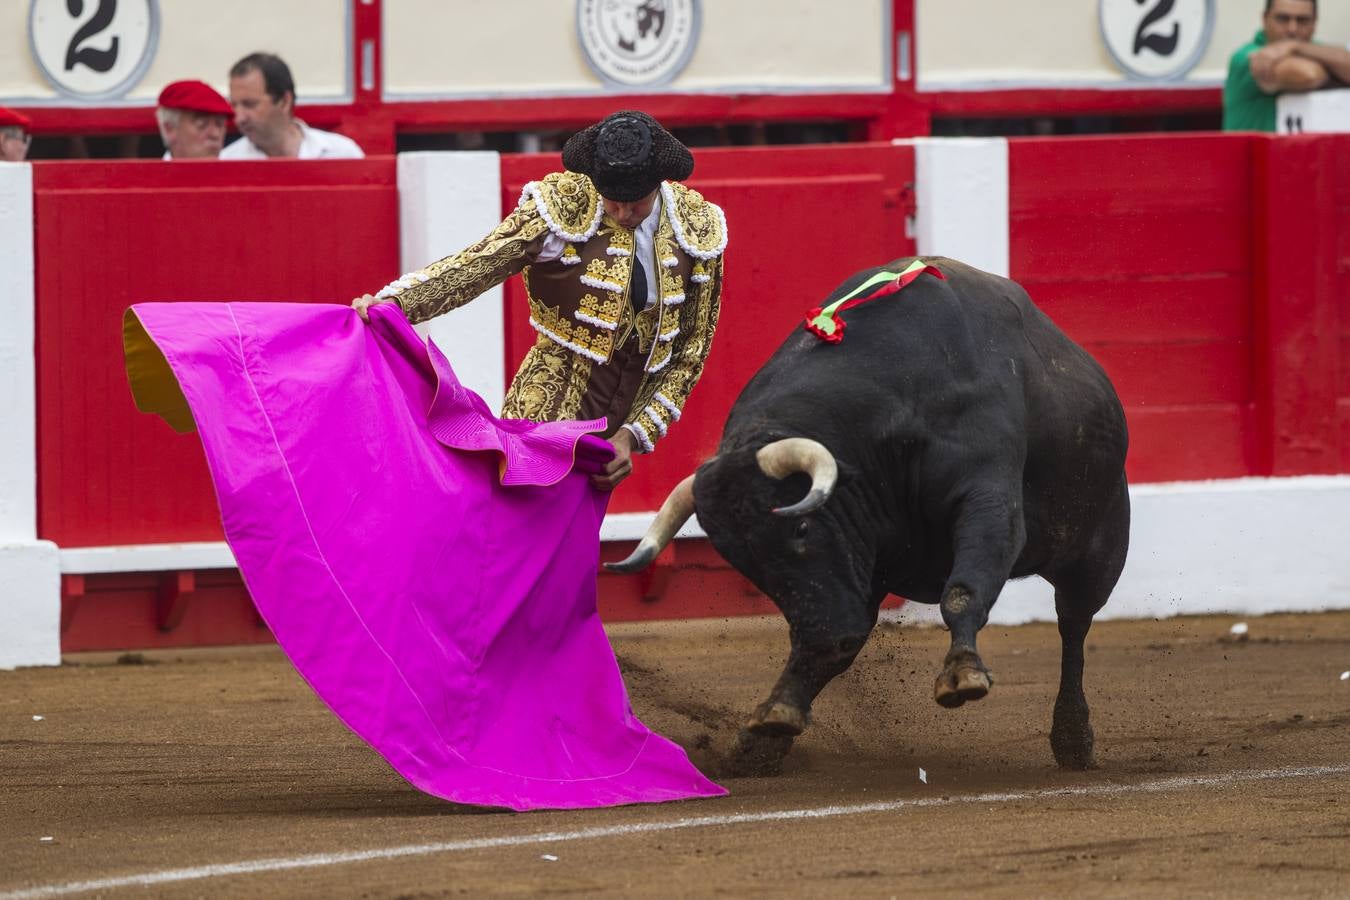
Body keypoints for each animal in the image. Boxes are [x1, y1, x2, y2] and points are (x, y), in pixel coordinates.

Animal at [610, 256, 1128, 777]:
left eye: (801, 526)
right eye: (749, 567)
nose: (822, 637)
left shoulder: (988, 501)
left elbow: (963, 591)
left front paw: (963, 672)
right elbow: (841, 643)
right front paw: (772, 721)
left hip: (1099, 549)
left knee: (1074, 626)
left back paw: (1073, 738)